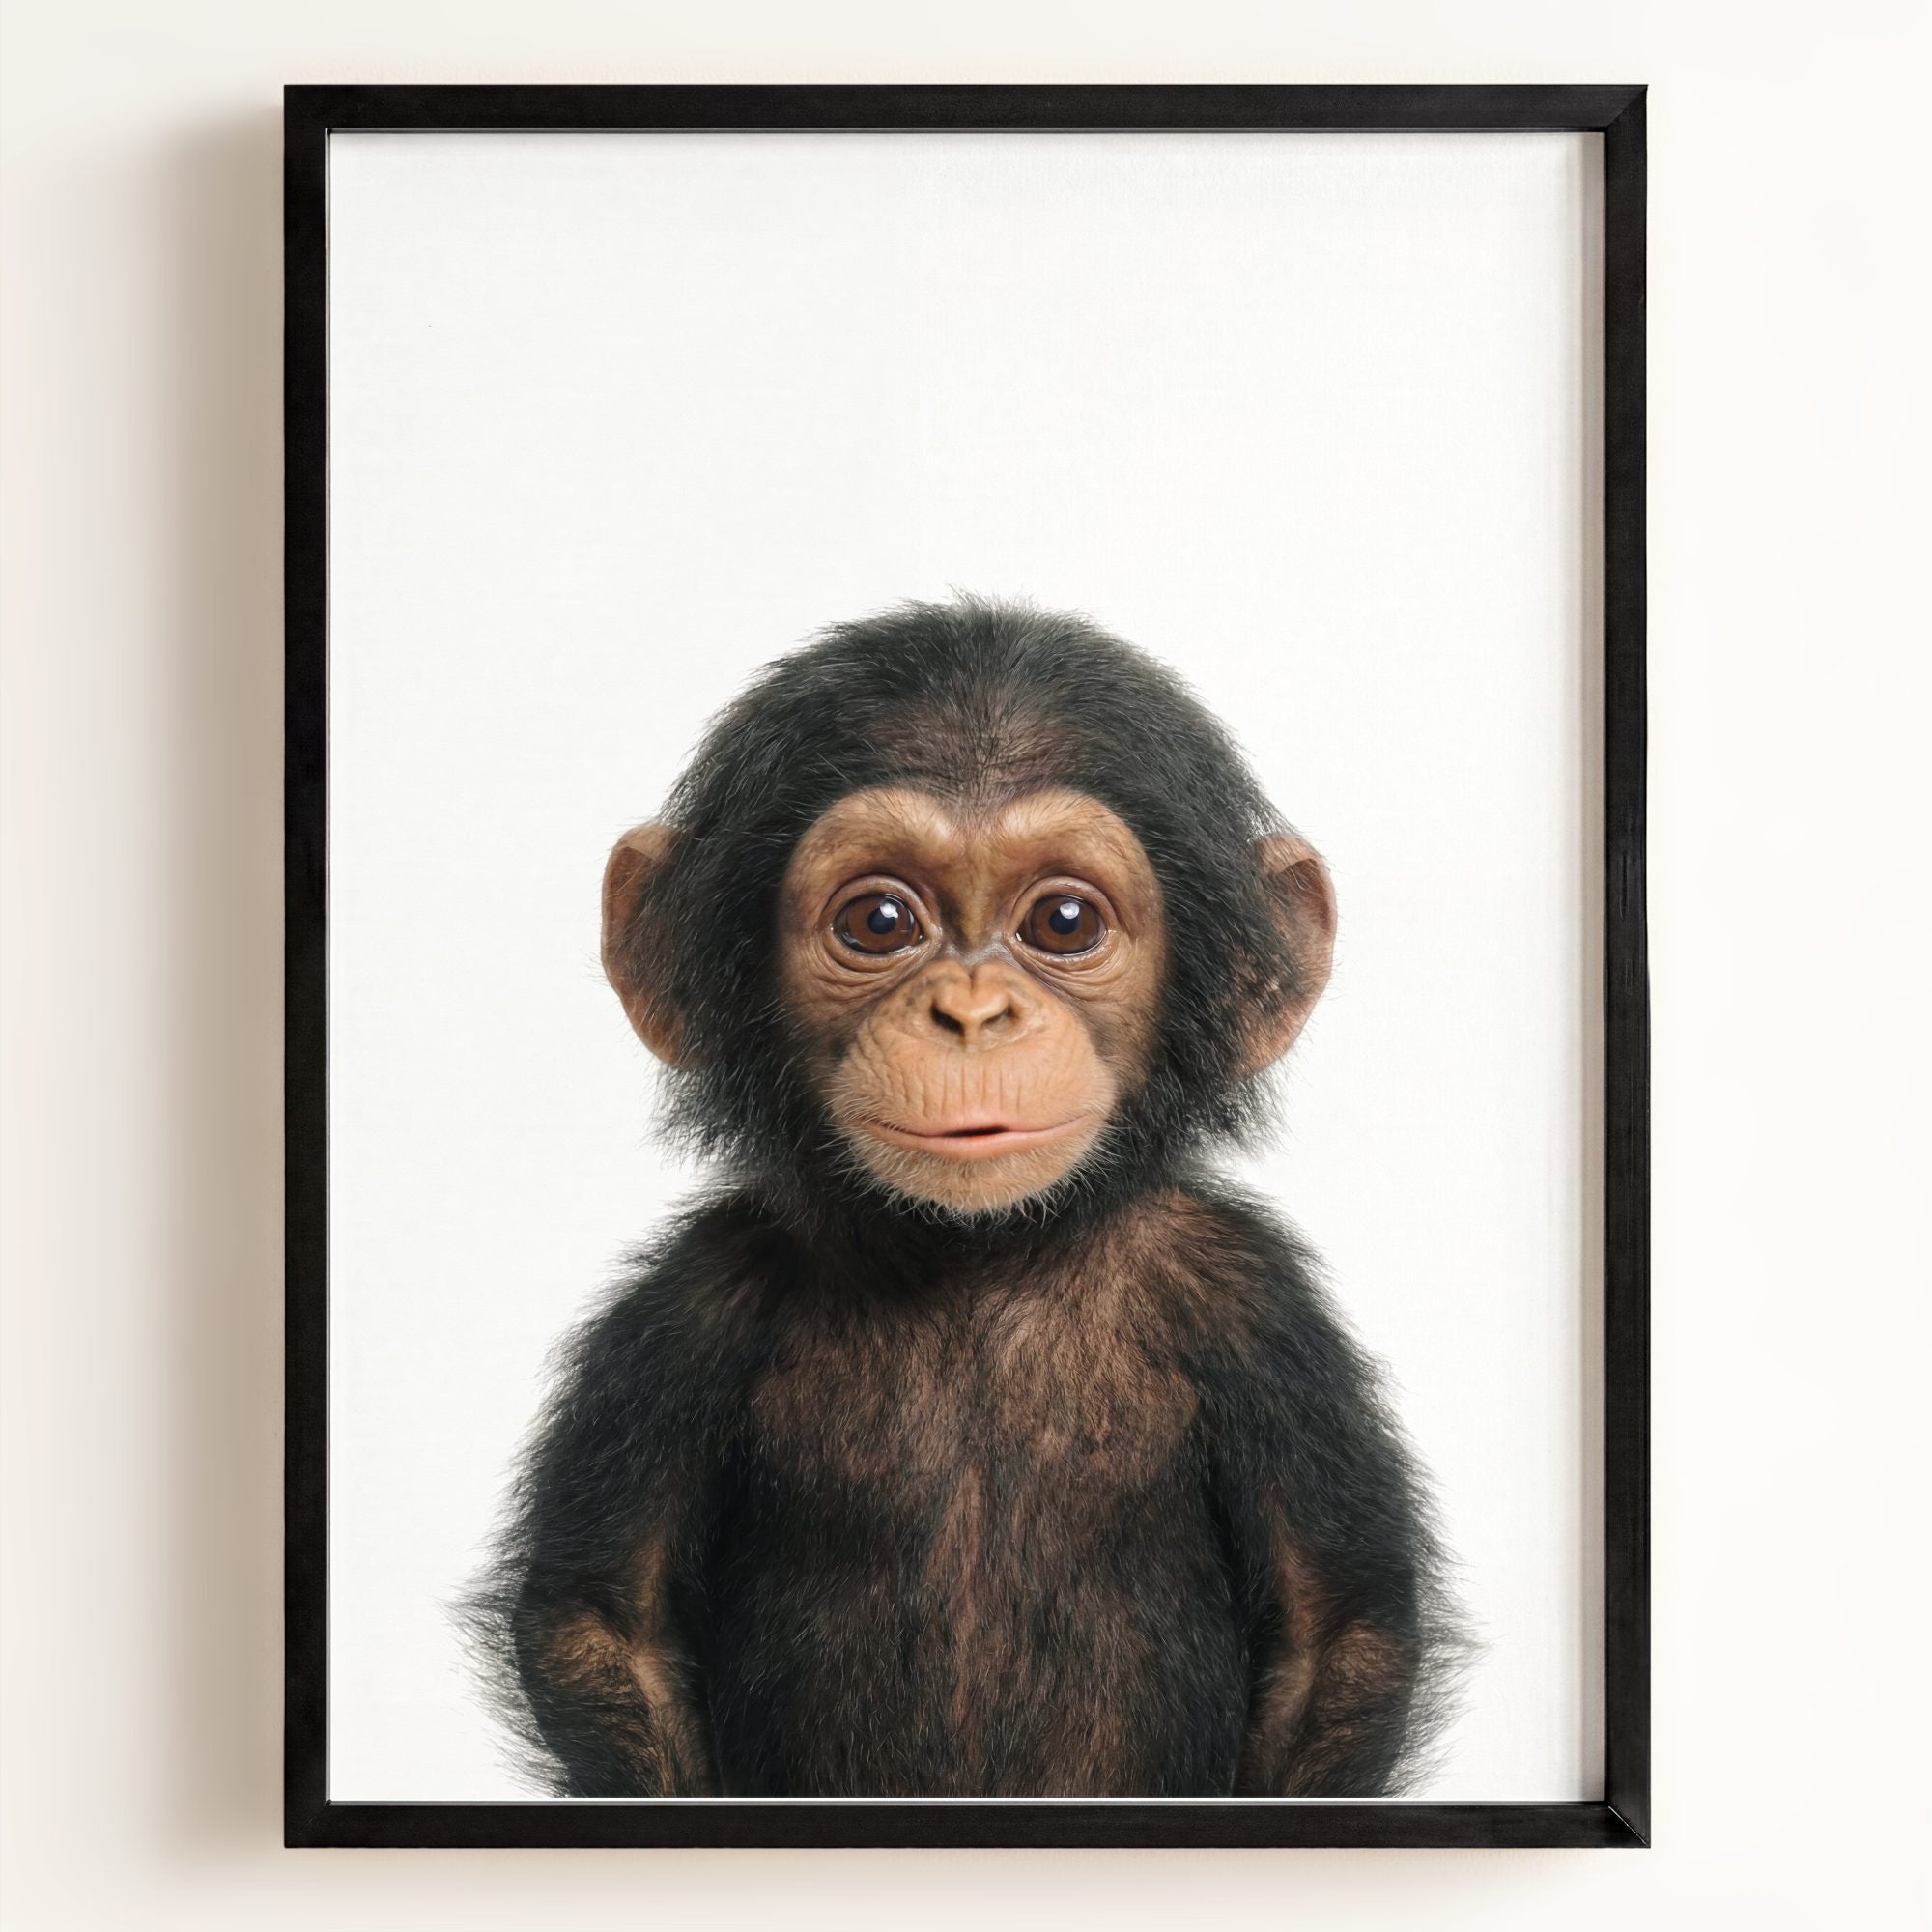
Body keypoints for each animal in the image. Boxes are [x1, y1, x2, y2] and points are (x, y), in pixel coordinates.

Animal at [464, 596, 1464, 1798]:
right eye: (880, 921)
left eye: (1064, 921)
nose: (973, 1012)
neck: (974, 1253)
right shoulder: (686, 1308)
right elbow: (605, 1622)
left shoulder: (1255, 1307)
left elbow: (1336, 1634)